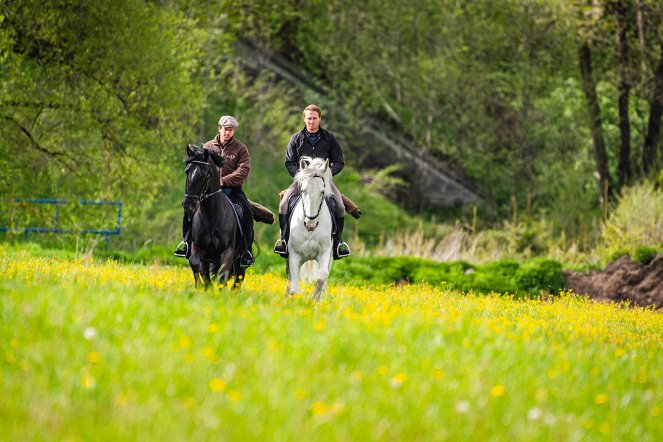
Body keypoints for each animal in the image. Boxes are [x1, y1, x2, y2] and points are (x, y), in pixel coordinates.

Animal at [182, 143, 246, 288]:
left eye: (203, 175)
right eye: (187, 171)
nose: (188, 204)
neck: (211, 214)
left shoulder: (227, 252)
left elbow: (222, 274)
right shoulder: (199, 248)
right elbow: (196, 265)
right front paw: (202, 286)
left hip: (240, 262)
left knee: (238, 280)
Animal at [286, 155, 334, 300]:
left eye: (322, 191)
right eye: (303, 190)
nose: (310, 224)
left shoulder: (324, 253)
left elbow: (321, 278)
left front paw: (312, 300)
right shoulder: (294, 255)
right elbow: (295, 288)